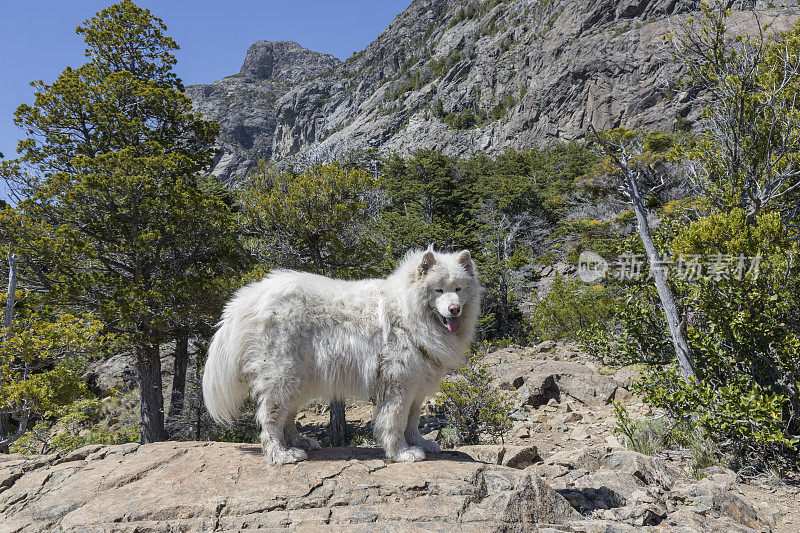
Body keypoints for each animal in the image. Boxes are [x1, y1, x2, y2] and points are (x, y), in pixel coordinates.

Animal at [205, 248, 482, 462]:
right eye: (438, 290)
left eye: (458, 288)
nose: (454, 309)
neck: (407, 313)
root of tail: (247, 299)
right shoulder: (398, 382)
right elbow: (395, 420)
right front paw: (402, 452)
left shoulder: (417, 384)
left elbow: (413, 421)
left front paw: (421, 443)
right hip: (282, 375)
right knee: (270, 418)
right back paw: (281, 454)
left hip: (299, 378)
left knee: (288, 416)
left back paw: (299, 442)